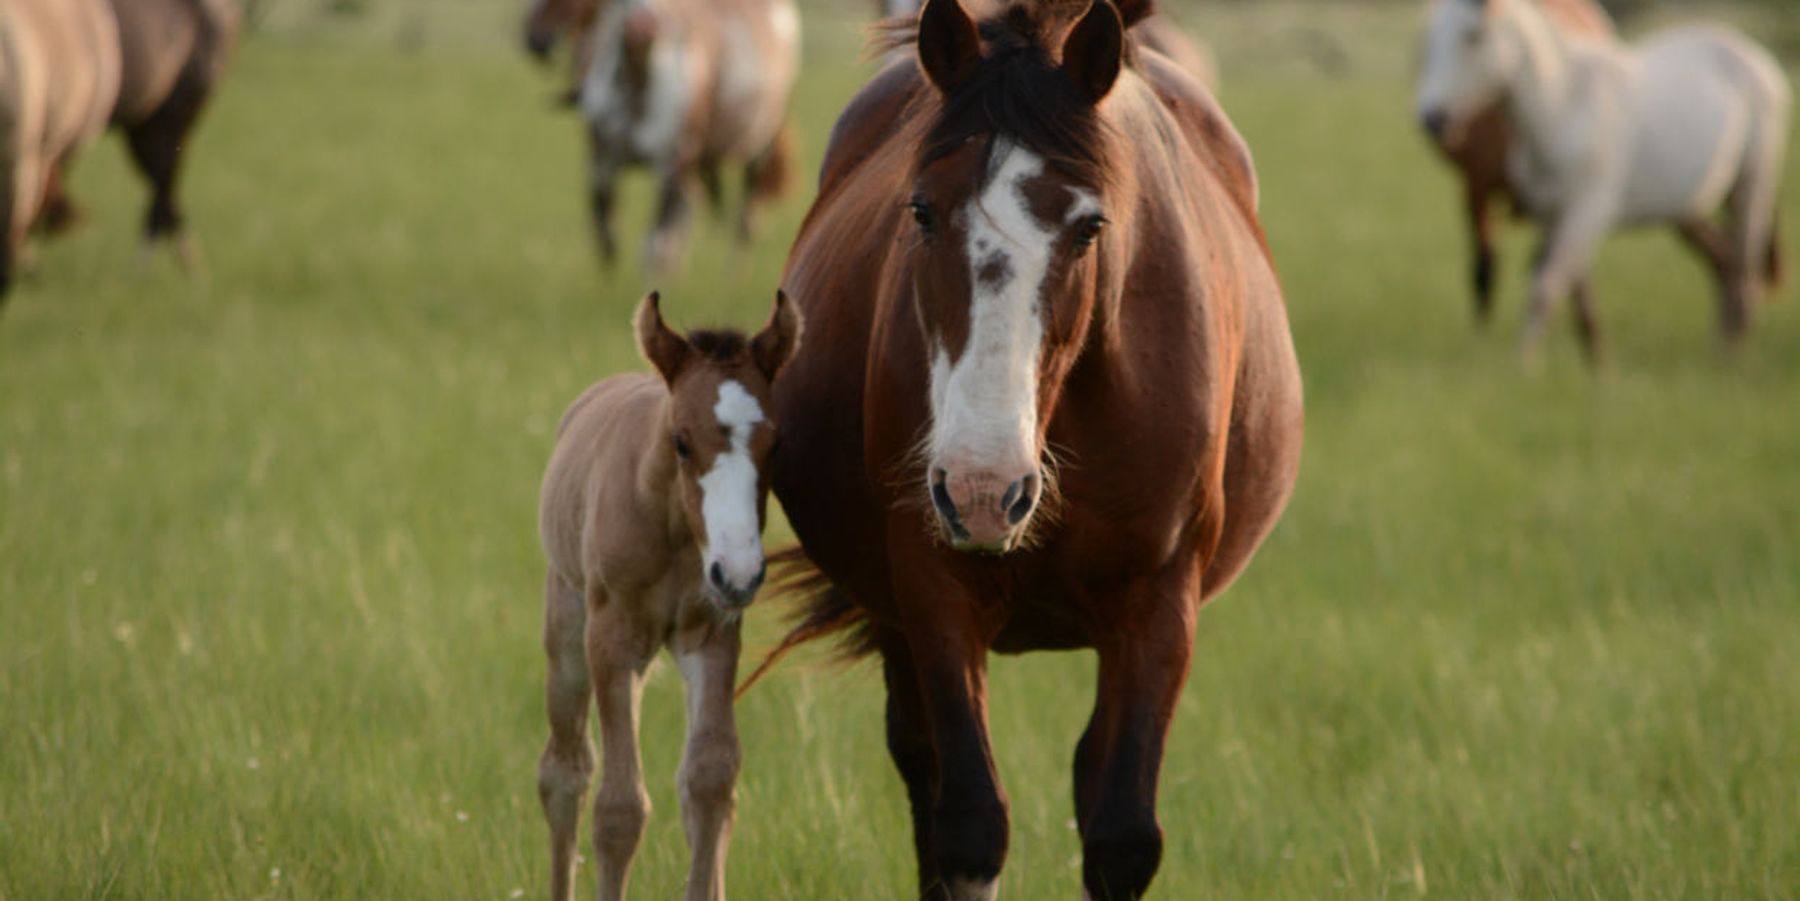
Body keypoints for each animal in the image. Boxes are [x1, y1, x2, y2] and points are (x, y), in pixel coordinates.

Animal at [536, 291, 800, 901]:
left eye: (776, 443)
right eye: (682, 440)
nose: (738, 573)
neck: (675, 531)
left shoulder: (713, 635)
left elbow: (709, 780)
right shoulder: (611, 641)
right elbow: (618, 808)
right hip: (569, 634)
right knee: (564, 771)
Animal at [546, 0, 800, 272]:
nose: (643, 27)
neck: (638, 87)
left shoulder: (672, 168)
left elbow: (656, 247)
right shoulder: (602, 165)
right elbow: (607, 238)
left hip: (759, 151)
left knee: (745, 219)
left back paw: (733, 272)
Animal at [756, 0, 1303, 896]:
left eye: (1088, 227)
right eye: (921, 211)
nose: (984, 489)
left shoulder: (1160, 602)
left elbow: (1121, 833)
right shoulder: (932, 586)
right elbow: (970, 823)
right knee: (922, 765)